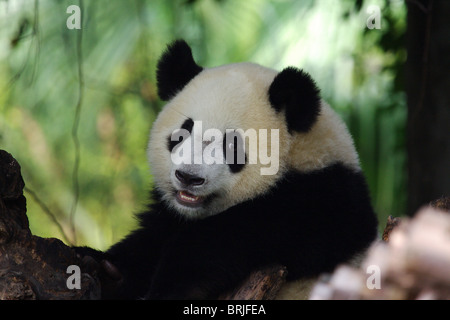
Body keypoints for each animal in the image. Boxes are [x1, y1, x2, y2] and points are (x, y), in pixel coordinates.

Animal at [75, 40, 378, 300]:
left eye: (231, 144)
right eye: (182, 133)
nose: (188, 177)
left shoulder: (319, 205)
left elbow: (225, 240)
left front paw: (167, 287)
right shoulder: (171, 214)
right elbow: (150, 238)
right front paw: (106, 270)